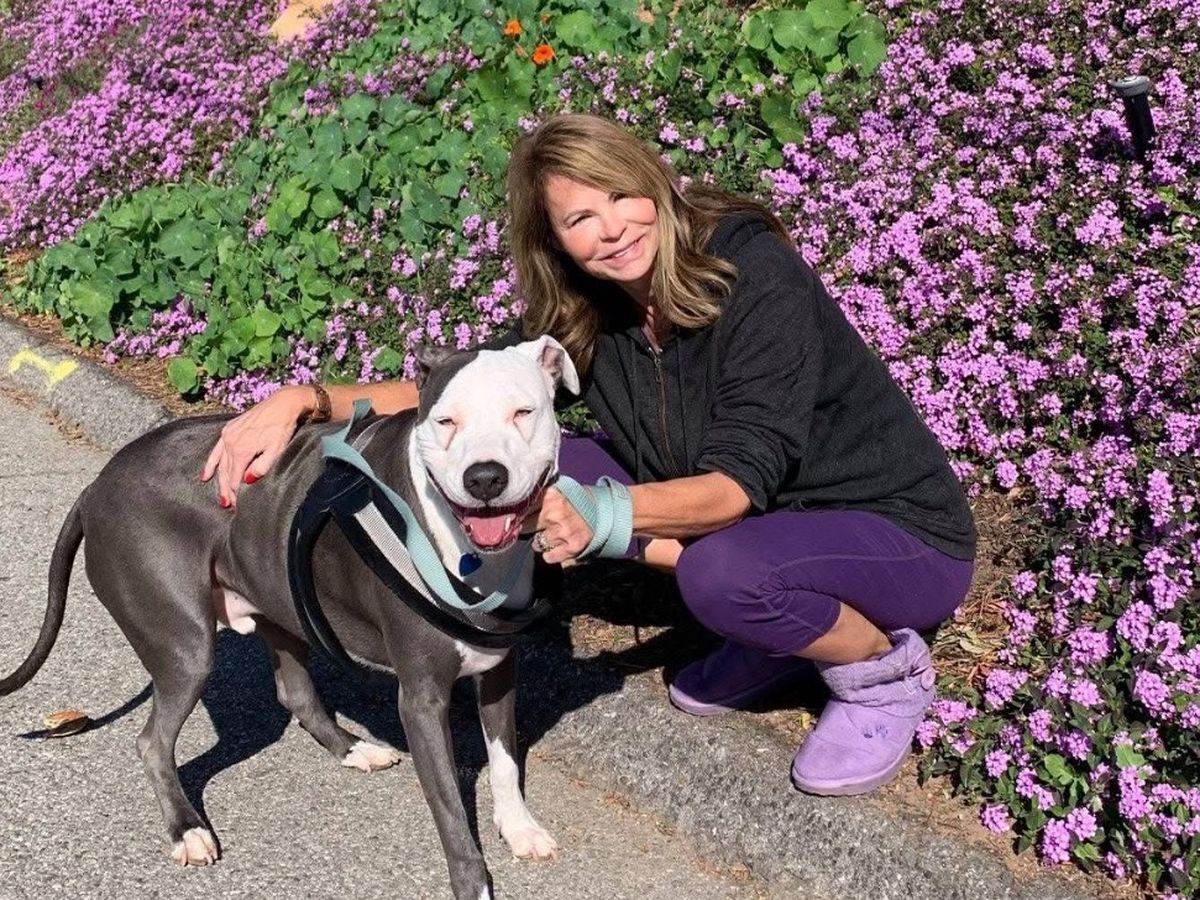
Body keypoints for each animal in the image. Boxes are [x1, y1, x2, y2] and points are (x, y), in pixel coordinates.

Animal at [1, 336, 579, 900]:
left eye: (523, 412)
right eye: (446, 421)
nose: (484, 477)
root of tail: (96, 485)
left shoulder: (499, 670)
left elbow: (504, 763)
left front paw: (520, 829)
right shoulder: (421, 698)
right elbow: (453, 815)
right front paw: (473, 884)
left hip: (281, 601)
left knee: (295, 692)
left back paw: (355, 750)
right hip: (186, 648)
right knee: (152, 741)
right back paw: (187, 829)